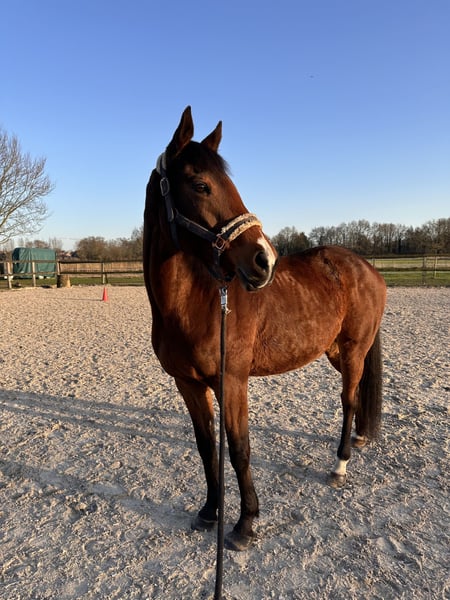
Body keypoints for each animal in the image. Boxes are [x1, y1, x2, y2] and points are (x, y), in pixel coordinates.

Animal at [143, 107, 387, 551]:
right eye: (201, 185)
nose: (264, 260)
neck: (194, 303)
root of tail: (366, 268)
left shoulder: (232, 382)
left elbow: (239, 449)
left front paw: (245, 523)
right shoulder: (188, 384)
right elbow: (206, 447)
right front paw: (210, 512)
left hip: (354, 349)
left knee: (348, 400)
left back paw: (340, 464)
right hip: (336, 351)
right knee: (358, 394)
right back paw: (359, 440)